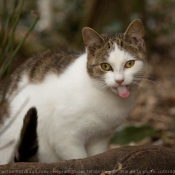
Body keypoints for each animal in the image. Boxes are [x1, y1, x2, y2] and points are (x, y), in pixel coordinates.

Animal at [0, 19, 146, 164]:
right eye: (105, 66)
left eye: (129, 64)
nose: (119, 80)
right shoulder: (65, 136)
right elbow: (78, 157)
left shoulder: (100, 137)